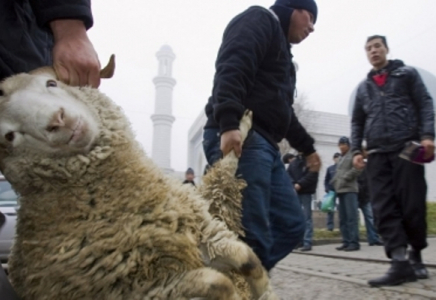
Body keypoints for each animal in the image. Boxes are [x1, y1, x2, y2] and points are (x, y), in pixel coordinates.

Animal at [0, 56, 280, 300]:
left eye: (51, 83)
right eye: (9, 136)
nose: (59, 121)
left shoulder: (205, 231)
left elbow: (248, 261)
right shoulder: (146, 286)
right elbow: (218, 283)